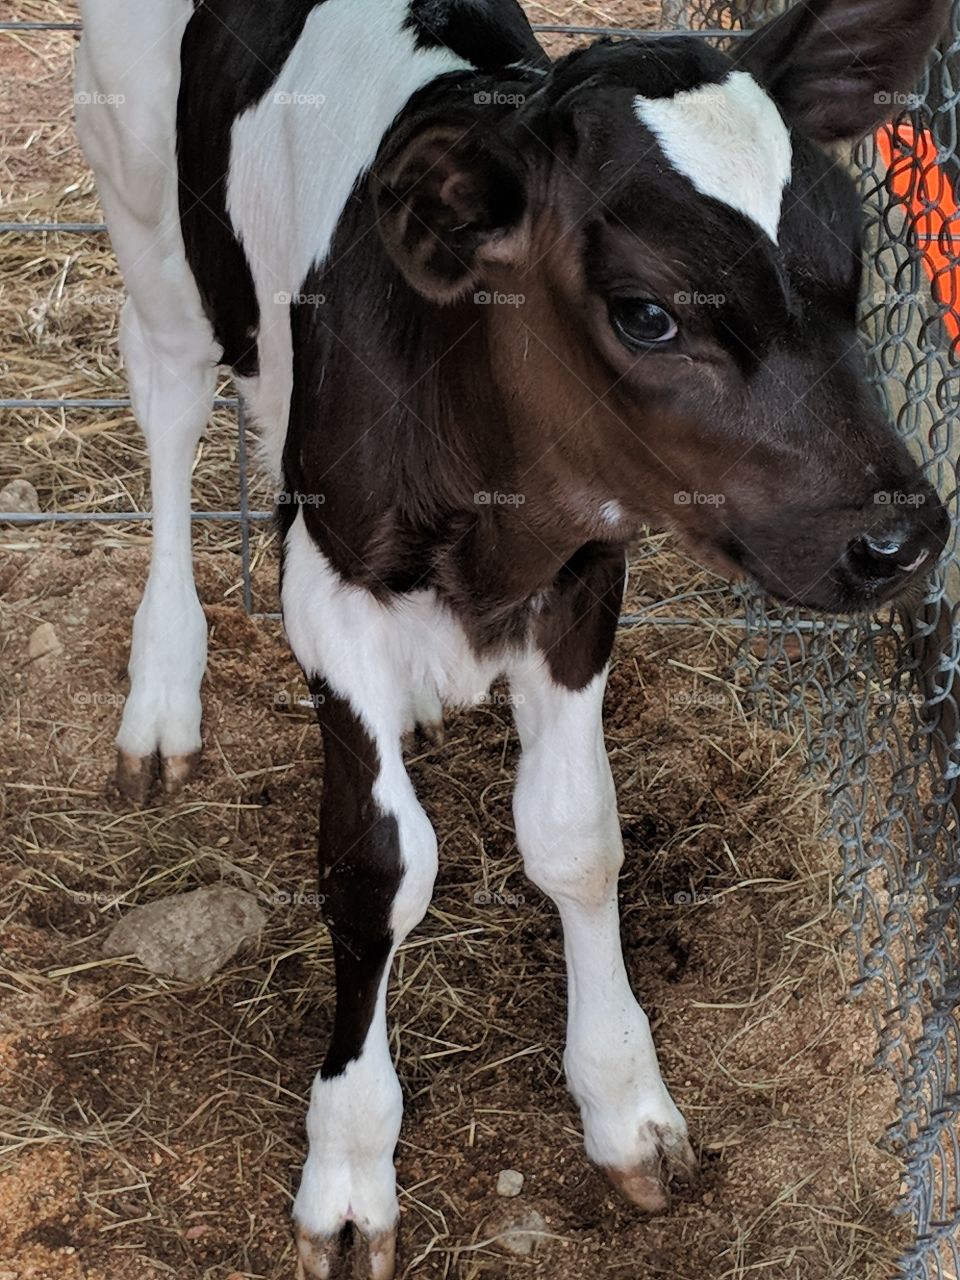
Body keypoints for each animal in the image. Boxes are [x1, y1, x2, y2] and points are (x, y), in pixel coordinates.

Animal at [75, 1, 950, 1275]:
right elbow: (378, 867)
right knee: (168, 389)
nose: (905, 535)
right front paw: (350, 1165)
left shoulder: (583, 578)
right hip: (143, 197)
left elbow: (579, 835)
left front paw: (625, 1101)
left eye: (853, 267)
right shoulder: (330, 588)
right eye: (647, 311)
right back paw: (162, 691)